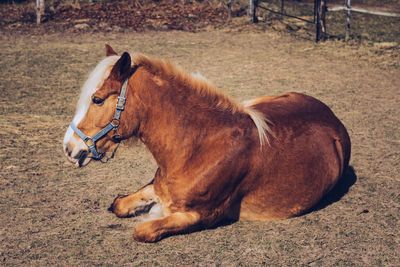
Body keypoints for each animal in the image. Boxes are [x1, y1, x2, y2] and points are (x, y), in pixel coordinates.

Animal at [62, 45, 350, 243]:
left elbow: (143, 229)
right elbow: (119, 204)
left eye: (97, 99)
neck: (199, 148)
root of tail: (332, 118)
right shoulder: (158, 187)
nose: (70, 148)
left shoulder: (202, 215)